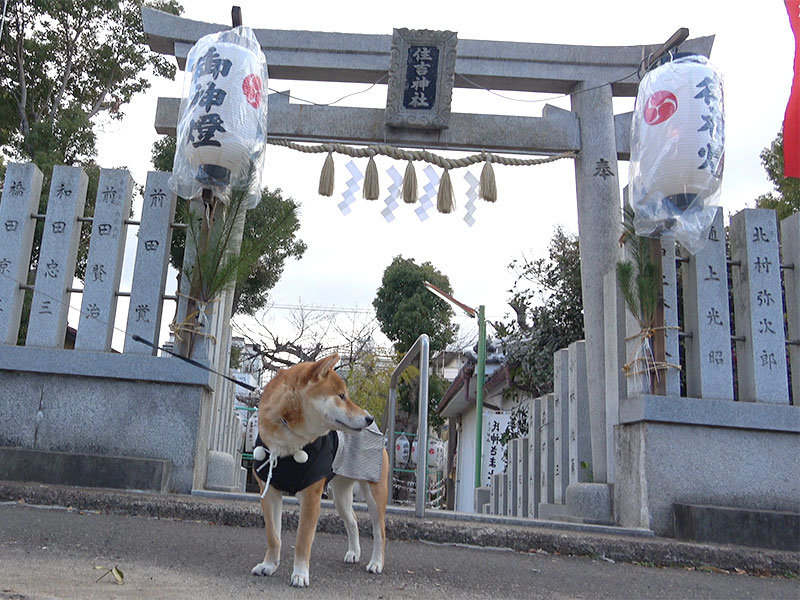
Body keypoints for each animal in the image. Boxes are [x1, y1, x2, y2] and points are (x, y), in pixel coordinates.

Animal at [248, 354, 390, 588]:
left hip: (374, 492)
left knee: (380, 530)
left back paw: (376, 563)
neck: (288, 444)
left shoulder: (311, 496)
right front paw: (268, 566)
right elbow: (273, 536)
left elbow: (303, 539)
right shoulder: (269, 493)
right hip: (339, 494)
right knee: (352, 521)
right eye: (341, 396)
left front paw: (300, 574)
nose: (368, 417)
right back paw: (353, 553)